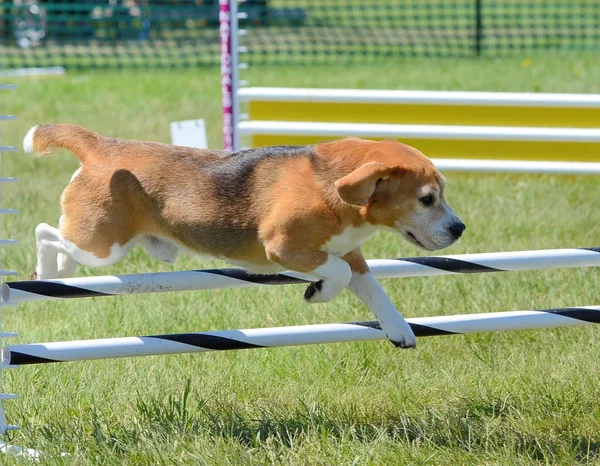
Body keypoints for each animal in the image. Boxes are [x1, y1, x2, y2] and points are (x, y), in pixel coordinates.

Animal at [23, 124, 466, 346]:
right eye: (427, 199)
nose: (459, 228)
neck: (326, 184)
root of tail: (103, 147)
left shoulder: (348, 252)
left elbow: (373, 287)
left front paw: (399, 329)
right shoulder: (284, 248)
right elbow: (337, 274)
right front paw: (318, 291)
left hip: (101, 246)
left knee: (59, 241)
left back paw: (57, 272)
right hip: (102, 246)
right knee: (46, 231)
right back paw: (48, 270)